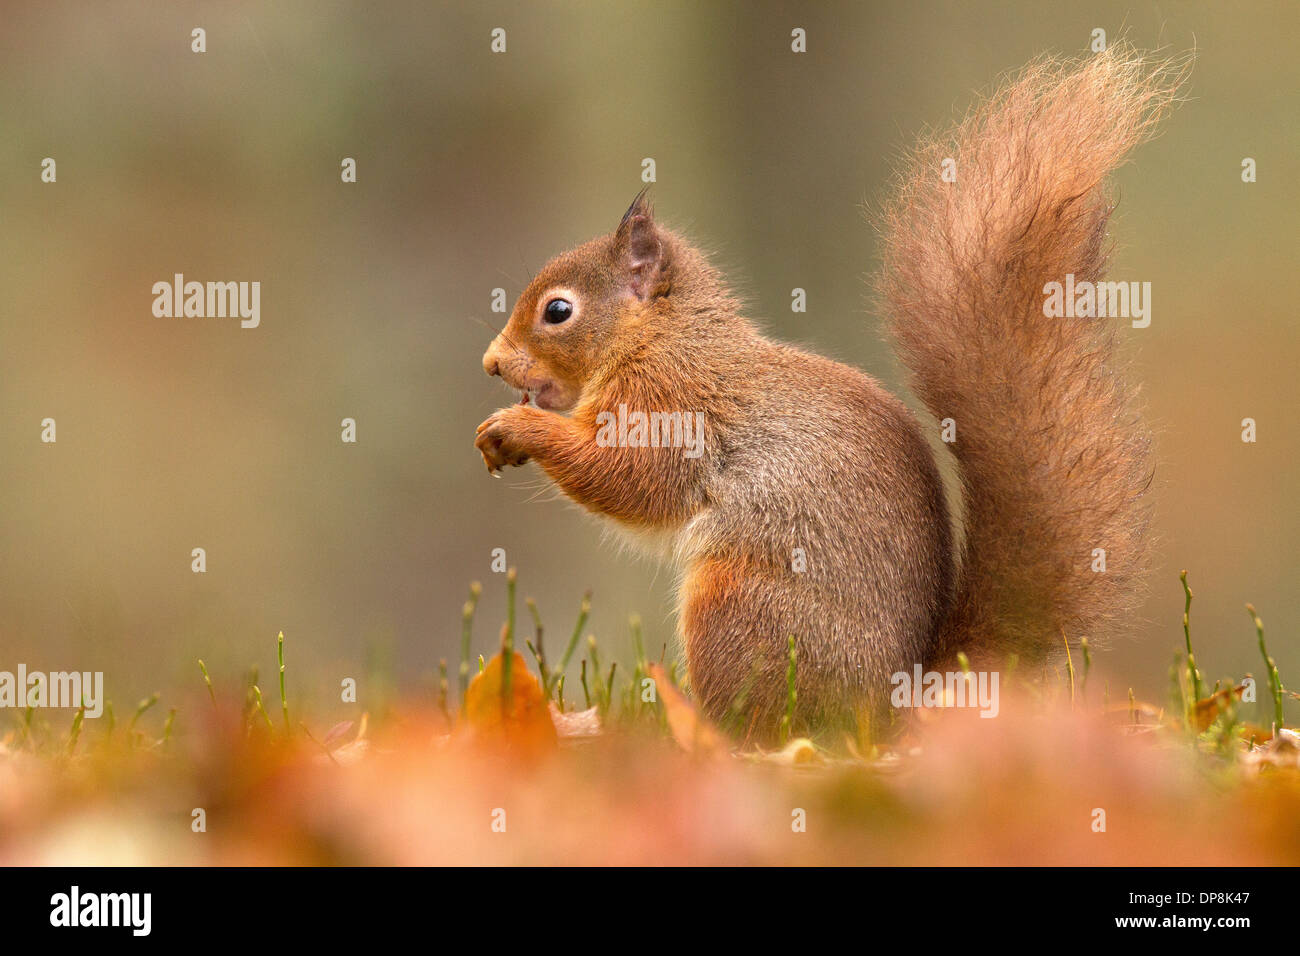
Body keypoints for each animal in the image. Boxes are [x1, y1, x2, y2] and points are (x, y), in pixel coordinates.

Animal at [473, 46, 1185, 738]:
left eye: (558, 311)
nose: (491, 364)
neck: (659, 334)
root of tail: (891, 707)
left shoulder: (671, 401)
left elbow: (628, 477)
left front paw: (515, 428)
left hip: (741, 608)